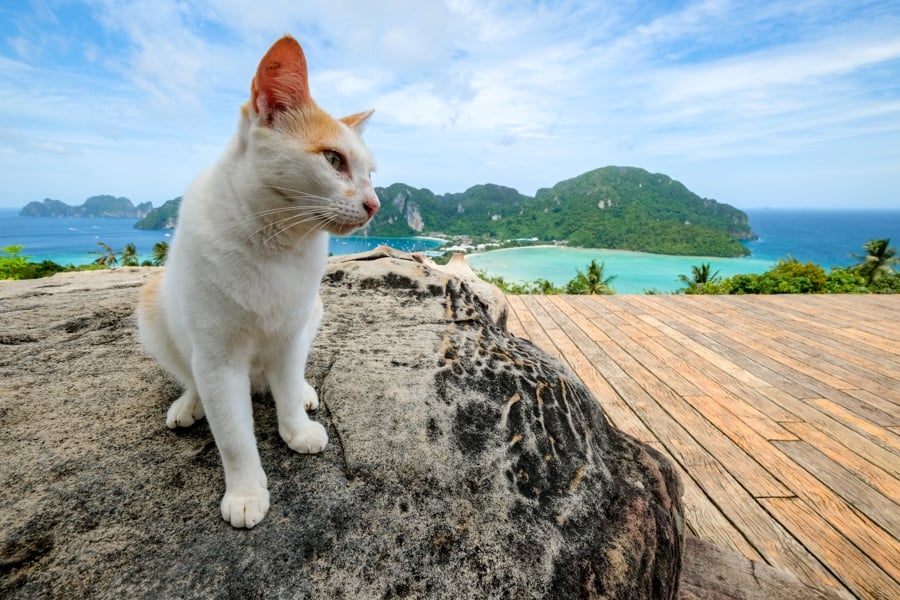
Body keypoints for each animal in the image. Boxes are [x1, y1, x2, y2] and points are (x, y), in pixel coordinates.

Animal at [137, 35, 380, 528]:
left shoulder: (290, 332)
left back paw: (303, 392)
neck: (277, 244)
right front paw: (246, 491)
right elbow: (233, 436)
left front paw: (296, 429)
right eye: (333, 159)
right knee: (190, 377)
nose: (375, 204)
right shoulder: (217, 360)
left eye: (370, 174)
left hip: (314, 311)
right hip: (153, 309)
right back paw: (190, 404)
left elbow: (286, 386)